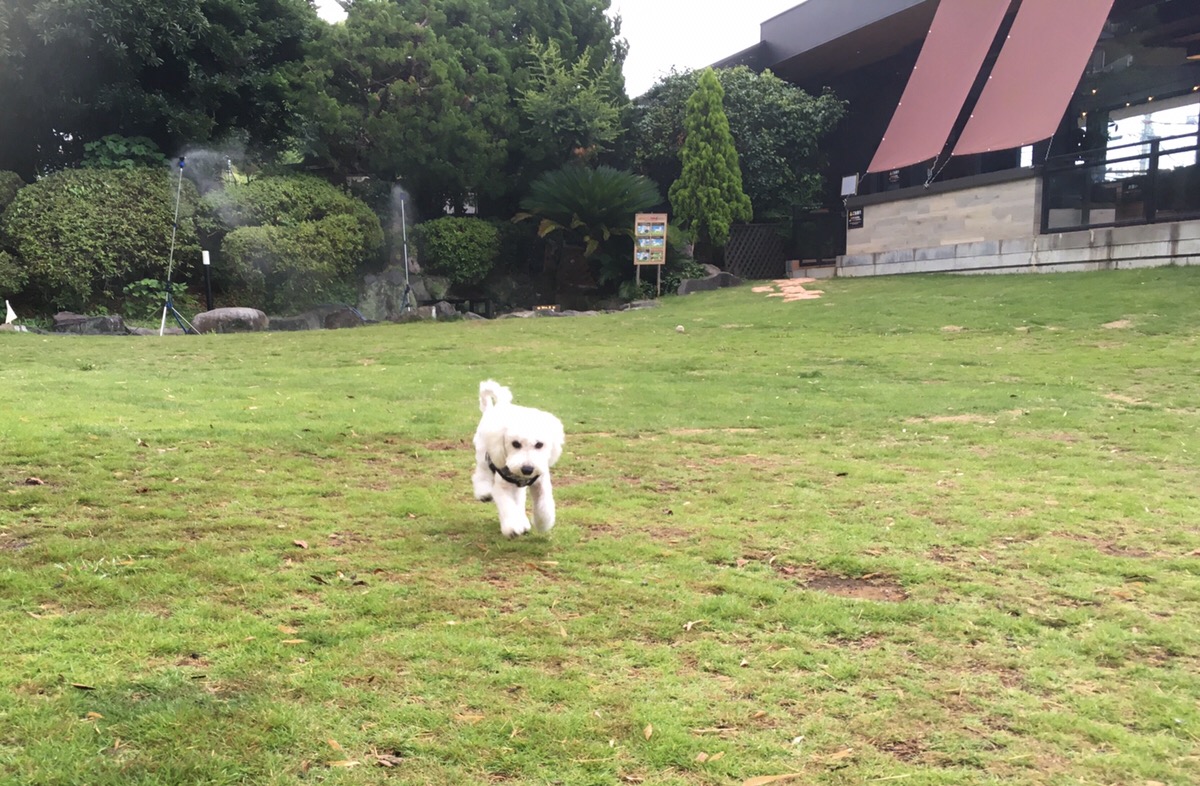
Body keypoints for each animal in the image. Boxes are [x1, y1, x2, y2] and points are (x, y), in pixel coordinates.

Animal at [470, 379, 564, 537]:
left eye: (539, 444)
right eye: (515, 444)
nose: (527, 469)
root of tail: (491, 409)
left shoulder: (541, 482)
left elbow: (544, 504)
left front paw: (543, 523)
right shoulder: (502, 486)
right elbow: (507, 505)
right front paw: (513, 527)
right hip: (484, 455)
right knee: (481, 474)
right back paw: (484, 493)